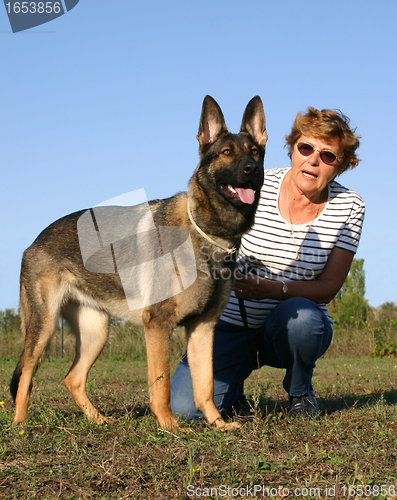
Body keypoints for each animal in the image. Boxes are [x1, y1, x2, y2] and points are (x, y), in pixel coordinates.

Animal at [10, 96, 266, 430]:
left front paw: (218, 424)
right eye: (226, 153)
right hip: (44, 328)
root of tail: (35, 241)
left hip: (96, 332)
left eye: (255, 152)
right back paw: (19, 425)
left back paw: (99, 420)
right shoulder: (157, 325)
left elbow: (205, 385)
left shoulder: (203, 329)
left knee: (72, 379)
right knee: (26, 375)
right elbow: (161, 385)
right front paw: (169, 426)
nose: (252, 169)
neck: (209, 234)